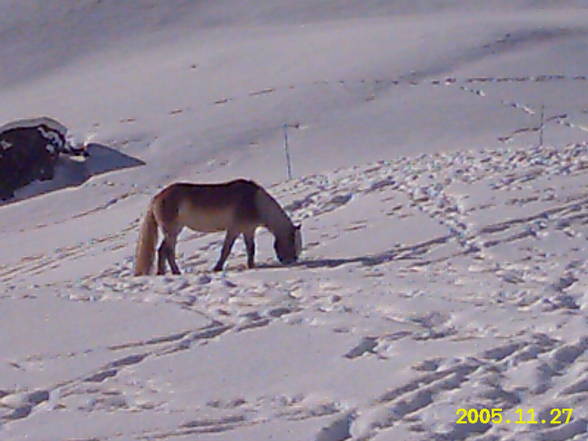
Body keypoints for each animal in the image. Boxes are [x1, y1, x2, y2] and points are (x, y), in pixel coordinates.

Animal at [135, 177, 300, 274]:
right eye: (292, 242)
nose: (291, 261)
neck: (255, 202)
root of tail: (157, 197)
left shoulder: (248, 230)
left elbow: (251, 249)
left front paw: (251, 266)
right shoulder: (234, 229)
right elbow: (226, 250)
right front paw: (217, 268)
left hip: (173, 231)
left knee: (162, 250)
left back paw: (162, 273)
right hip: (172, 231)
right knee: (168, 251)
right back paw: (176, 272)